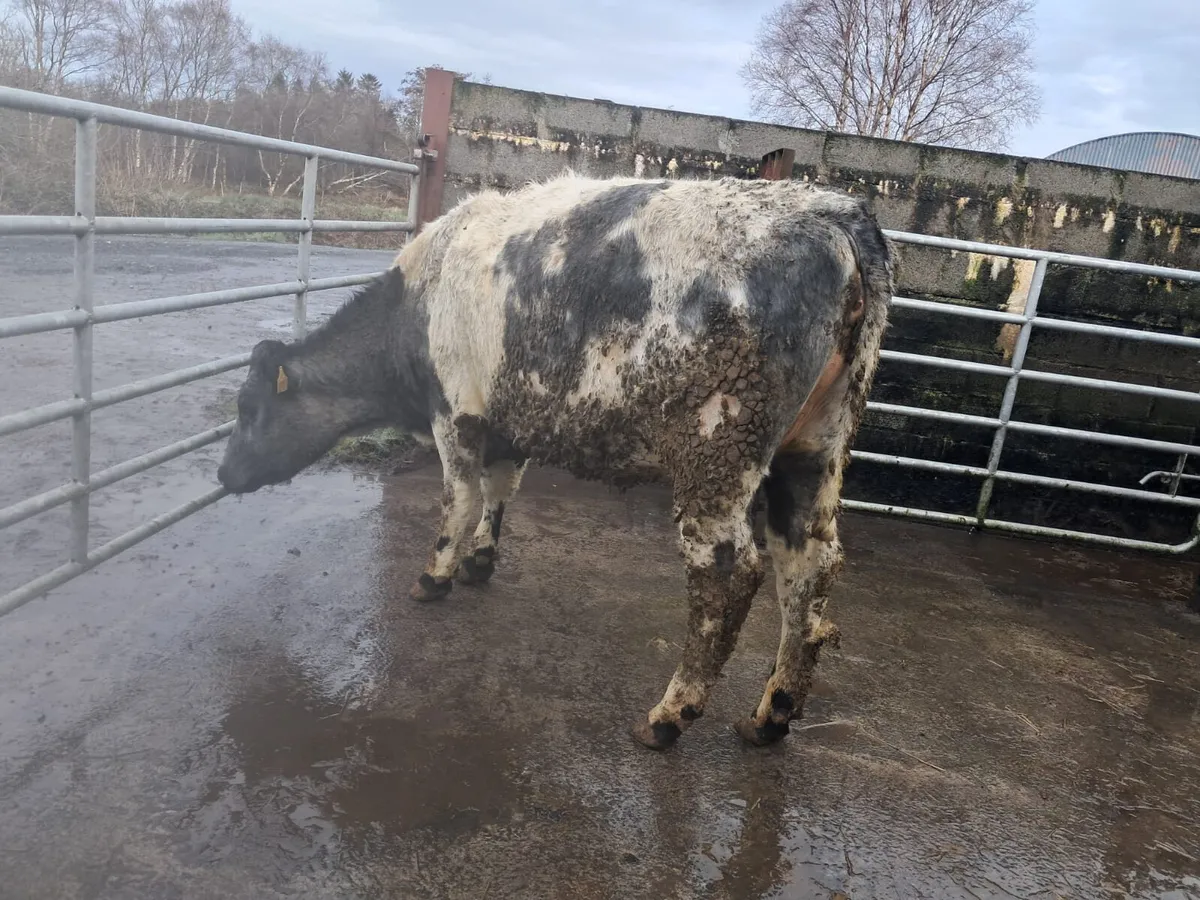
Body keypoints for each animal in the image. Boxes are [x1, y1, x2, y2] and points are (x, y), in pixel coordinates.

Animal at [216, 172, 894, 751]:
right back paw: (771, 714)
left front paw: (435, 575)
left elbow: (459, 500)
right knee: (808, 564)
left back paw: (670, 715)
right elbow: (499, 490)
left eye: (248, 408)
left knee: (730, 570)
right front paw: (481, 561)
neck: (418, 302)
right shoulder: (507, 421)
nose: (223, 474)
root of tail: (836, 216)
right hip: (815, 448)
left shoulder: (455, 411)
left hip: (719, 449)